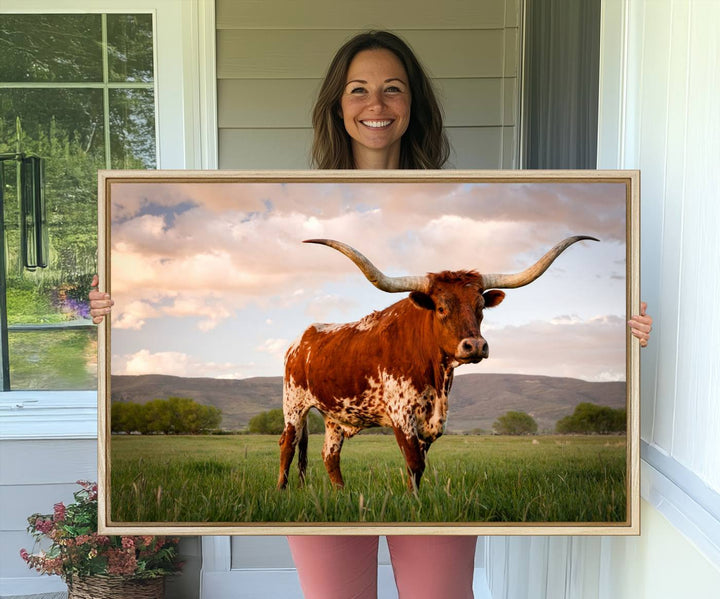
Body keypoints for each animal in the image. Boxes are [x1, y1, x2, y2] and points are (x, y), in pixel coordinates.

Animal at [276, 236, 596, 492]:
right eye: (441, 308)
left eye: (481, 307)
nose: (475, 345)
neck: (436, 376)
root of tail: (301, 339)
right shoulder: (401, 415)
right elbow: (414, 463)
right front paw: (413, 503)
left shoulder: (433, 421)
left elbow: (419, 467)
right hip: (294, 405)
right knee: (287, 445)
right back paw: (281, 491)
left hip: (334, 416)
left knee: (330, 455)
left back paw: (341, 493)